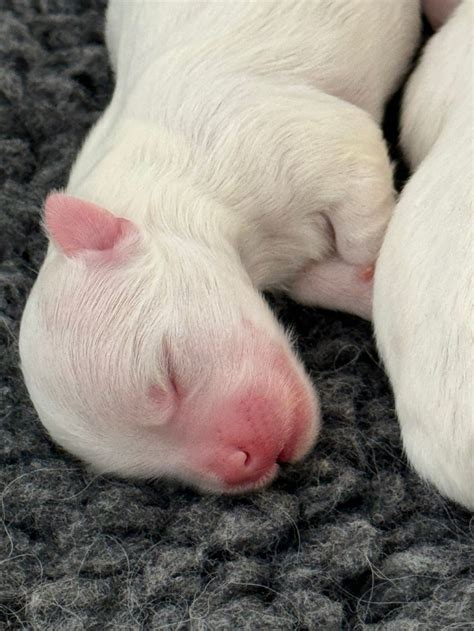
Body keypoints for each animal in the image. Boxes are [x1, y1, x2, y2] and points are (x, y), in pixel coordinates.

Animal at [18, 1, 420, 494]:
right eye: (152, 475)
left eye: (168, 373)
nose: (246, 462)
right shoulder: (292, 266)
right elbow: (322, 280)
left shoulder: (299, 141)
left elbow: (361, 218)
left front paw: (380, 259)